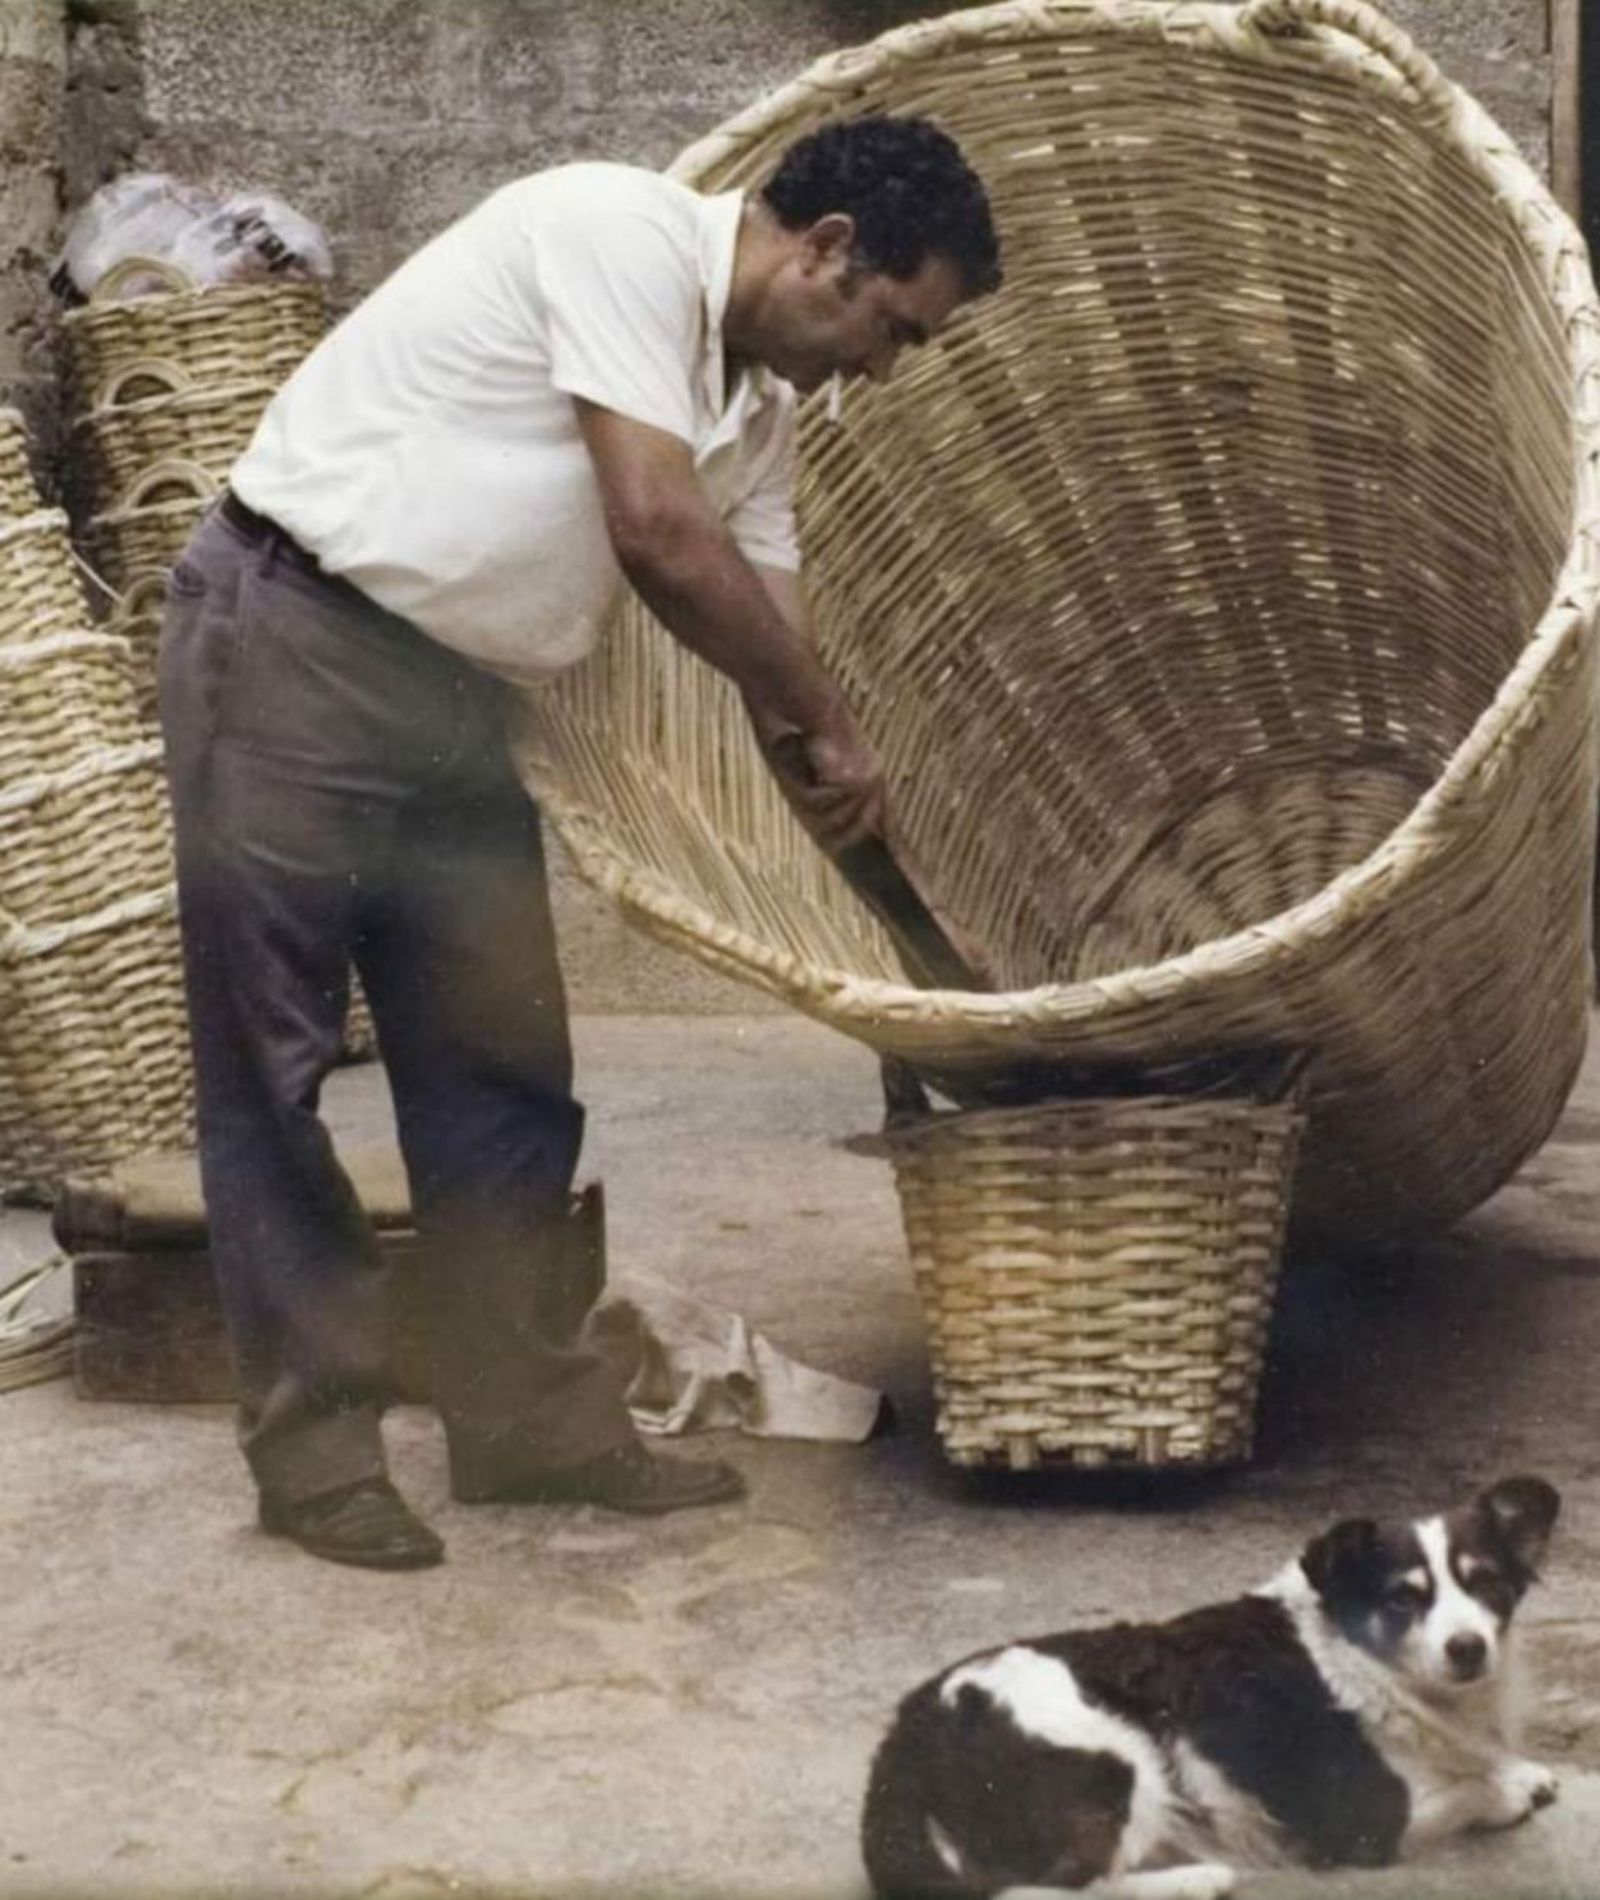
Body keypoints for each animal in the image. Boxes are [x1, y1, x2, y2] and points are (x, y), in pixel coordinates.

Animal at [858, 1474, 1558, 1892]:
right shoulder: (1360, 1818)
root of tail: (904, 1745)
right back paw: (1191, 1881)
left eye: (1486, 1583)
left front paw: (1518, 1769)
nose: (1468, 1648)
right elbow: (1460, 1792)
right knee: (1046, 1889)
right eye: (1402, 1599)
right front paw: (1505, 1791)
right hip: (1116, 1758)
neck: (1359, 1663)